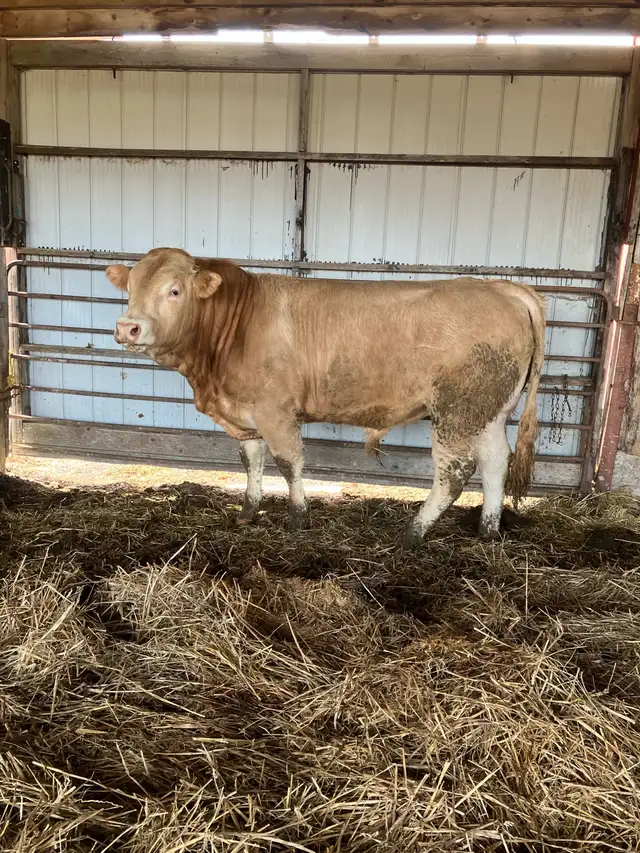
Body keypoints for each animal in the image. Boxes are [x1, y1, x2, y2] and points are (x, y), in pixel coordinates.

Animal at [106, 248, 546, 546]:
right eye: (129, 288)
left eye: (174, 290)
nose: (128, 327)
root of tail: (503, 289)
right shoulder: (247, 413)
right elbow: (252, 461)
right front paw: (248, 510)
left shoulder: (275, 410)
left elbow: (289, 463)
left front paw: (298, 518)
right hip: (489, 410)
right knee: (496, 462)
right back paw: (488, 529)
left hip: (455, 411)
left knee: (455, 471)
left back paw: (413, 532)